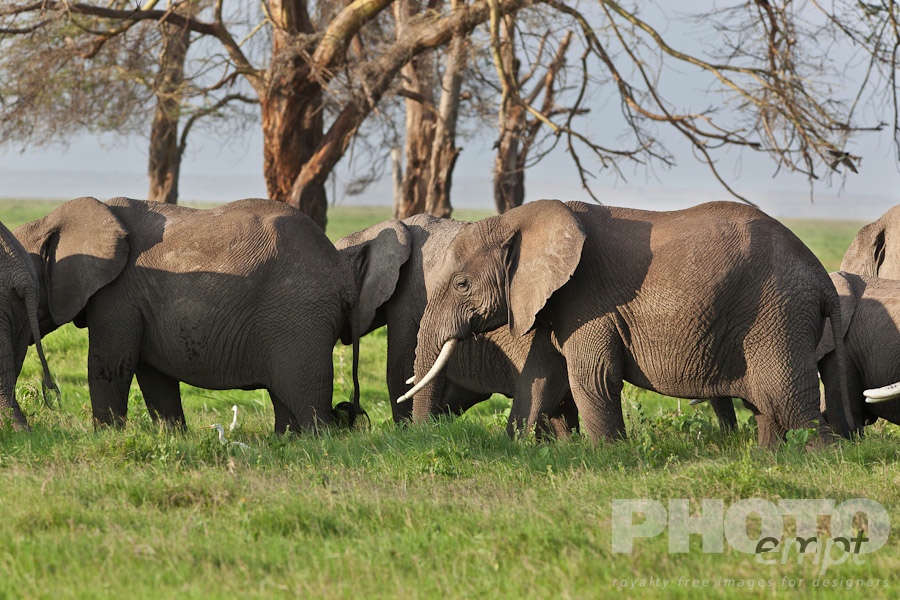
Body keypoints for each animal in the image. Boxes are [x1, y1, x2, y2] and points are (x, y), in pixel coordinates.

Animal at [14, 196, 405, 433]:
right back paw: (286, 443)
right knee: (285, 397)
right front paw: (172, 437)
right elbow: (154, 376)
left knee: (306, 396)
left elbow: (110, 365)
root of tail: (340, 270)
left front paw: (105, 436)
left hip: (300, 316)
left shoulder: (117, 296)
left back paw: (315, 444)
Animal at [401, 199, 854, 447]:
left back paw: (822, 457)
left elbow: (592, 375)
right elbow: (541, 375)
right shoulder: (557, 301)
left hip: (777, 314)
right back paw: (767, 458)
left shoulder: (589, 299)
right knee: (768, 403)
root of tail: (820, 276)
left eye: (462, 285)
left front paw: (607, 455)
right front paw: (516, 448)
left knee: (787, 399)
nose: (423, 436)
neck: (520, 218)